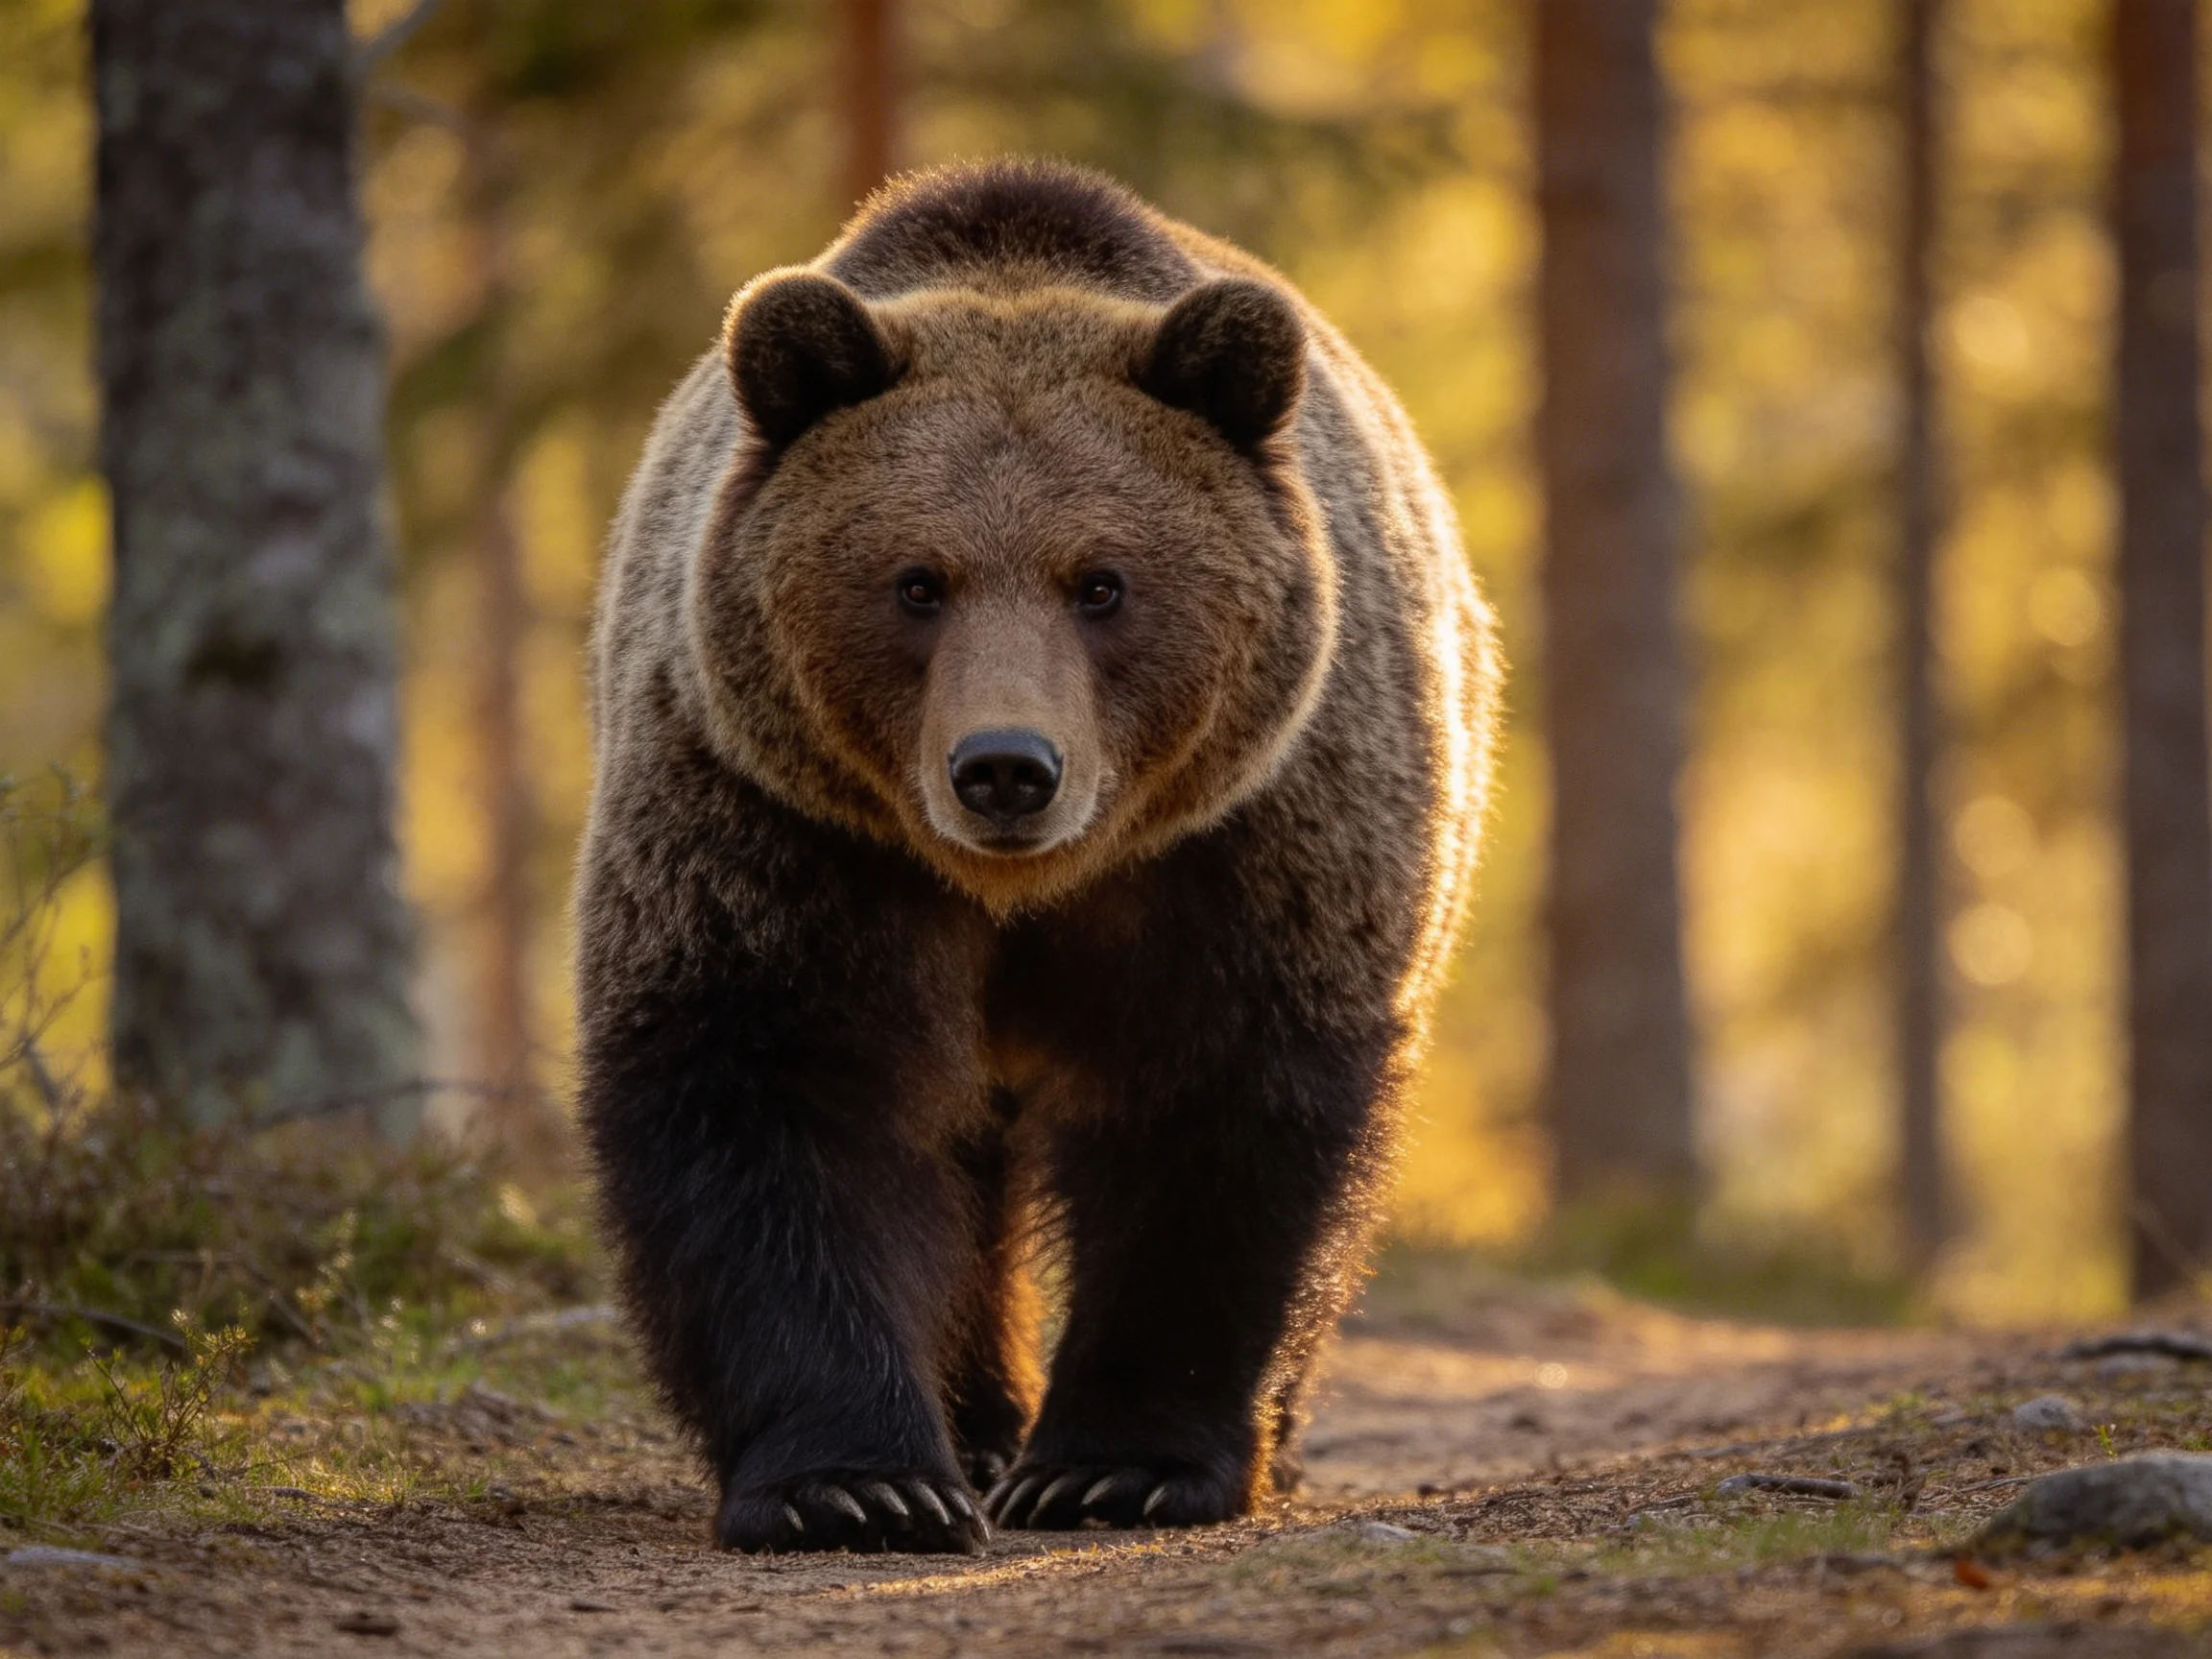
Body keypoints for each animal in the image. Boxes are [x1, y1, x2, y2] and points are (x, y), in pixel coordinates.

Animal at [575, 157, 1500, 1554]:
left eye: (1101, 582)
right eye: (917, 581)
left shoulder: (1248, 839)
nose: (1006, 766)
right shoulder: (776, 827)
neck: (1018, 891)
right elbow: (771, 1093)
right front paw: (861, 1484)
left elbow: (1216, 1111)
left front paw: (1117, 1467)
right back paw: (976, 1423)